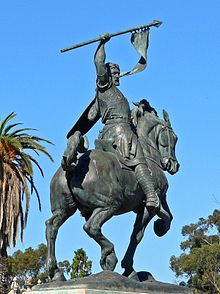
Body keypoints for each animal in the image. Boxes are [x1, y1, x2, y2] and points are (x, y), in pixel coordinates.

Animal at [45, 106, 180, 280]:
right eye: (174, 138)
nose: (173, 165)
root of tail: (74, 165)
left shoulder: (159, 199)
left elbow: (168, 216)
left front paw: (160, 226)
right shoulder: (150, 205)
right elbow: (138, 234)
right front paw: (129, 268)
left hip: (65, 209)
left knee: (52, 226)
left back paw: (55, 271)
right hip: (110, 204)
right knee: (91, 227)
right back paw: (109, 256)